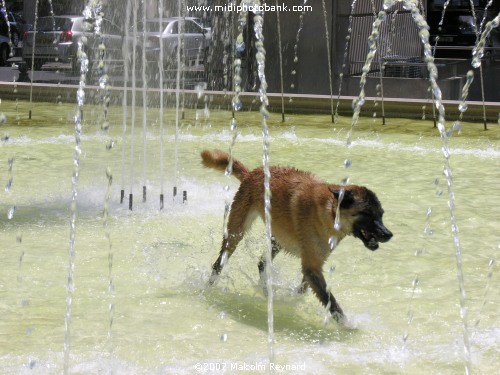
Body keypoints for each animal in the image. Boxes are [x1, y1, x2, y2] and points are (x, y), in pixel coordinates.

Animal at [201, 149, 392, 324]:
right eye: (367, 214)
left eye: (381, 214)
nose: (388, 234)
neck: (329, 213)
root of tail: (251, 173)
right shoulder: (311, 267)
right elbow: (330, 301)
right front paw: (347, 325)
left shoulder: (314, 264)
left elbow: (304, 290)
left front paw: (292, 301)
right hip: (236, 233)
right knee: (219, 263)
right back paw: (209, 287)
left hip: (278, 240)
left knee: (262, 263)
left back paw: (267, 291)